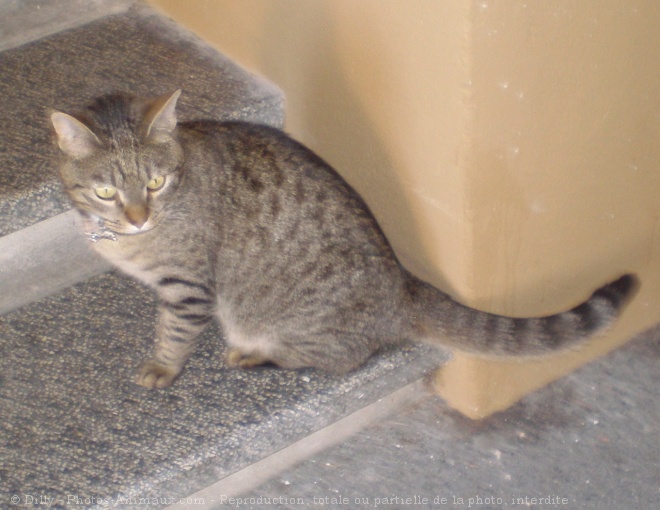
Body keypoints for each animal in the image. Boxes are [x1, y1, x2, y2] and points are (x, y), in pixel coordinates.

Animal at [50, 89, 640, 388]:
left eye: (155, 183)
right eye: (106, 191)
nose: (137, 218)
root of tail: (405, 285)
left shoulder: (188, 286)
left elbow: (173, 332)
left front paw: (163, 366)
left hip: (284, 323)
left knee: (340, 358)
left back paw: (255, 356)